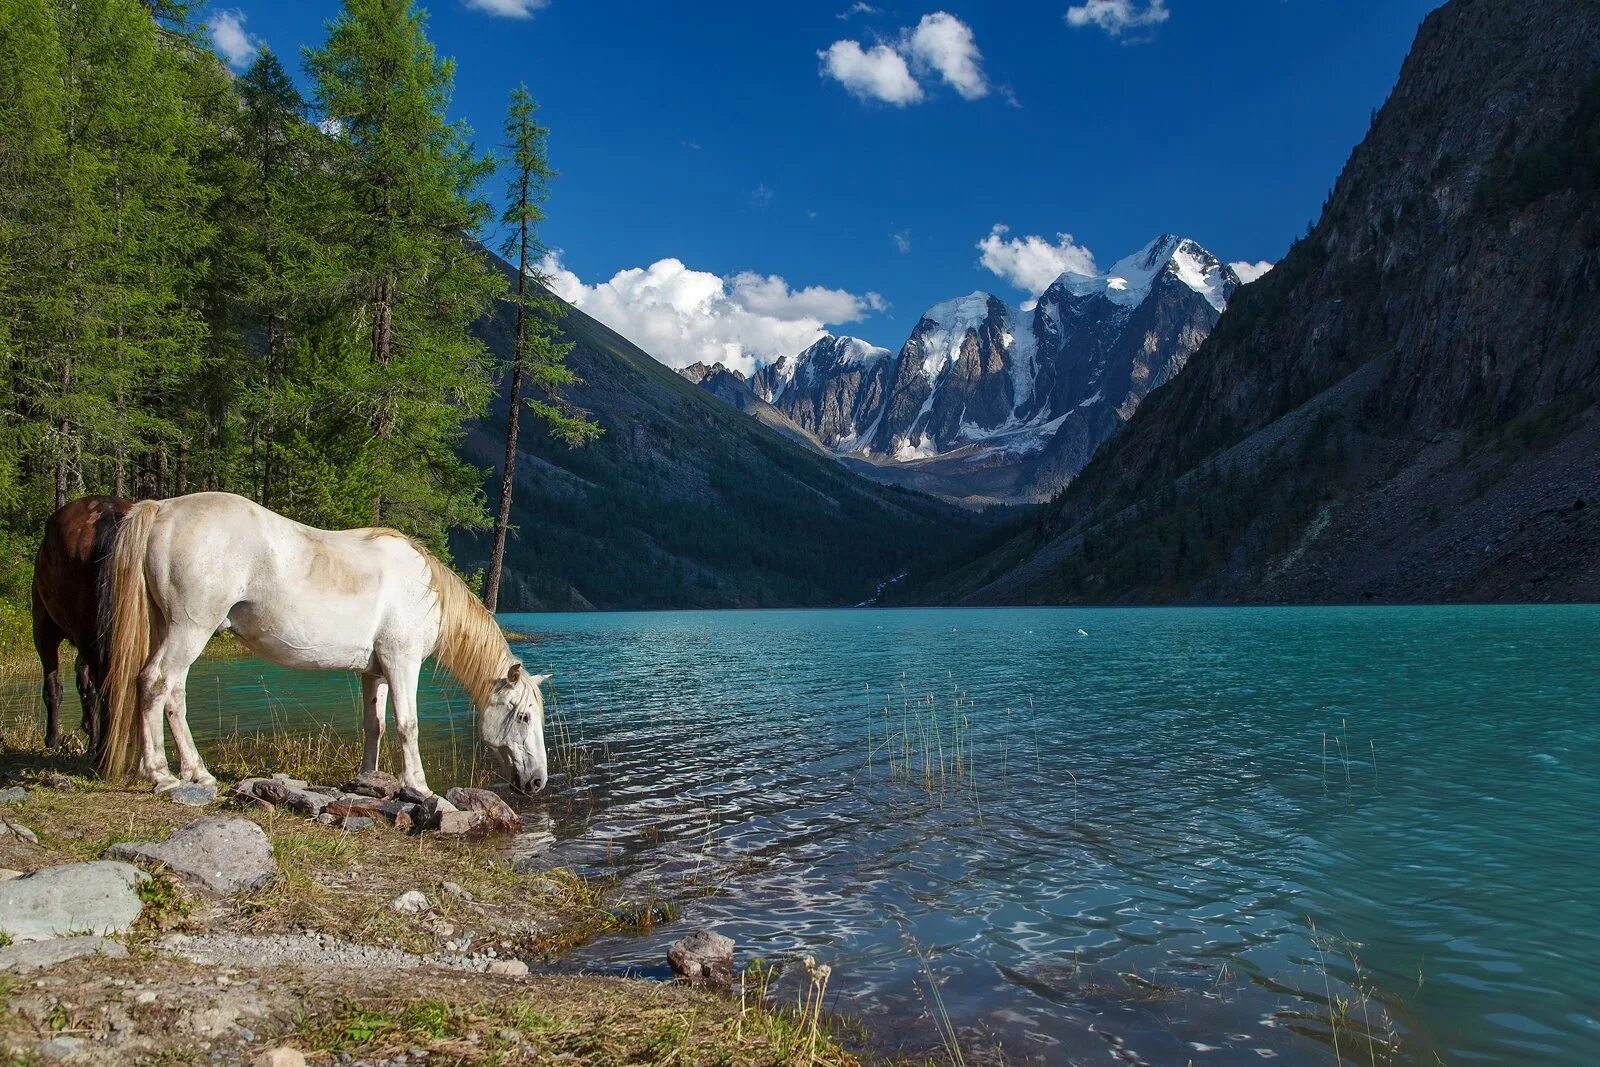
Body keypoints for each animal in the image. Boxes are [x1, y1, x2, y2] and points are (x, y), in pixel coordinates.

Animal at [101, 492, 550, 793]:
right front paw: (418, 787)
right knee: (157, 683)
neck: (426, 591)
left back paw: (191, 772)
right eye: (524, 716)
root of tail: (163, 509)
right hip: (190, 629)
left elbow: (375, 725)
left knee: (171, 693)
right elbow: (408, 725)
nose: (538, 782)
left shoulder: (376, 672)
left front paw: (367, 779)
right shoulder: (402, 663)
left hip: (172, 628)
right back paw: (164, 775)